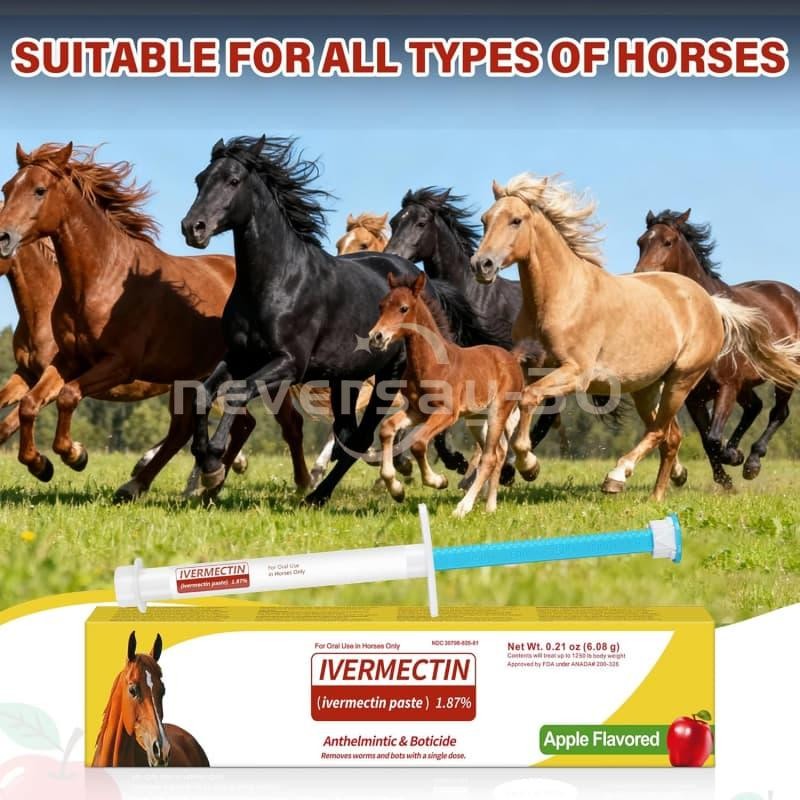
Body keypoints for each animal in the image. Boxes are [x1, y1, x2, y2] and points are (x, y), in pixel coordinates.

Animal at [0, 142, 312, 499]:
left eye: (39, 190)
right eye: (7, 189)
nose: (3, 237)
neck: (98, 279)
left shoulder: (119, 365)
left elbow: (66, 397)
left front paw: (74, 454)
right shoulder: (62, 363)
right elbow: (28, 406)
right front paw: (41, 465)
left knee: (285, 424)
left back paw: (300, 483)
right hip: (189, 378)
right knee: (199, 427)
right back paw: (178, 482)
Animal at [181, 135, 505, 506]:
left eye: (233, 181)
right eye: (200, 180)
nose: (192, 228)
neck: (276, 281)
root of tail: (425, 283)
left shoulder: (288, 363)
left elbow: (237, 393)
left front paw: (214, 461)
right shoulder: (240, 356)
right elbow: (202, 393)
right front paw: (206, 459)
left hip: (389, 375)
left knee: (363, 436)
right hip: (345, 379)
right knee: (350, 435)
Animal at [370, 272, 524, 517]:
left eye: (403, 308)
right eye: (381, 306)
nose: (376, 337)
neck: (432, 362)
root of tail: (511, 359)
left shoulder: (447, 413)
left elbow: (418, 443)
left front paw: (438, 481)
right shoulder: (417, 411)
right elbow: (387, 429)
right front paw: (396, 490)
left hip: (498, 412)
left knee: (490, 456)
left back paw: (463, 508)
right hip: (476, 418)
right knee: (498, 453)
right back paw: (490, 506)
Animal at [635, 209, 800, 487]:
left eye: (668, 242)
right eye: (640, 242)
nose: (643, 276)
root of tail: (791, 295)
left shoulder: (727, 386)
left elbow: (713, 438)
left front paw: (735, 458)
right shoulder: (694, 396)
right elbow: (706, 439)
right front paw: (725, 477)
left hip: (782, 374)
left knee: (779, 412)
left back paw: (752, 462)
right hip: (746, 383)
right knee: (755, 406)